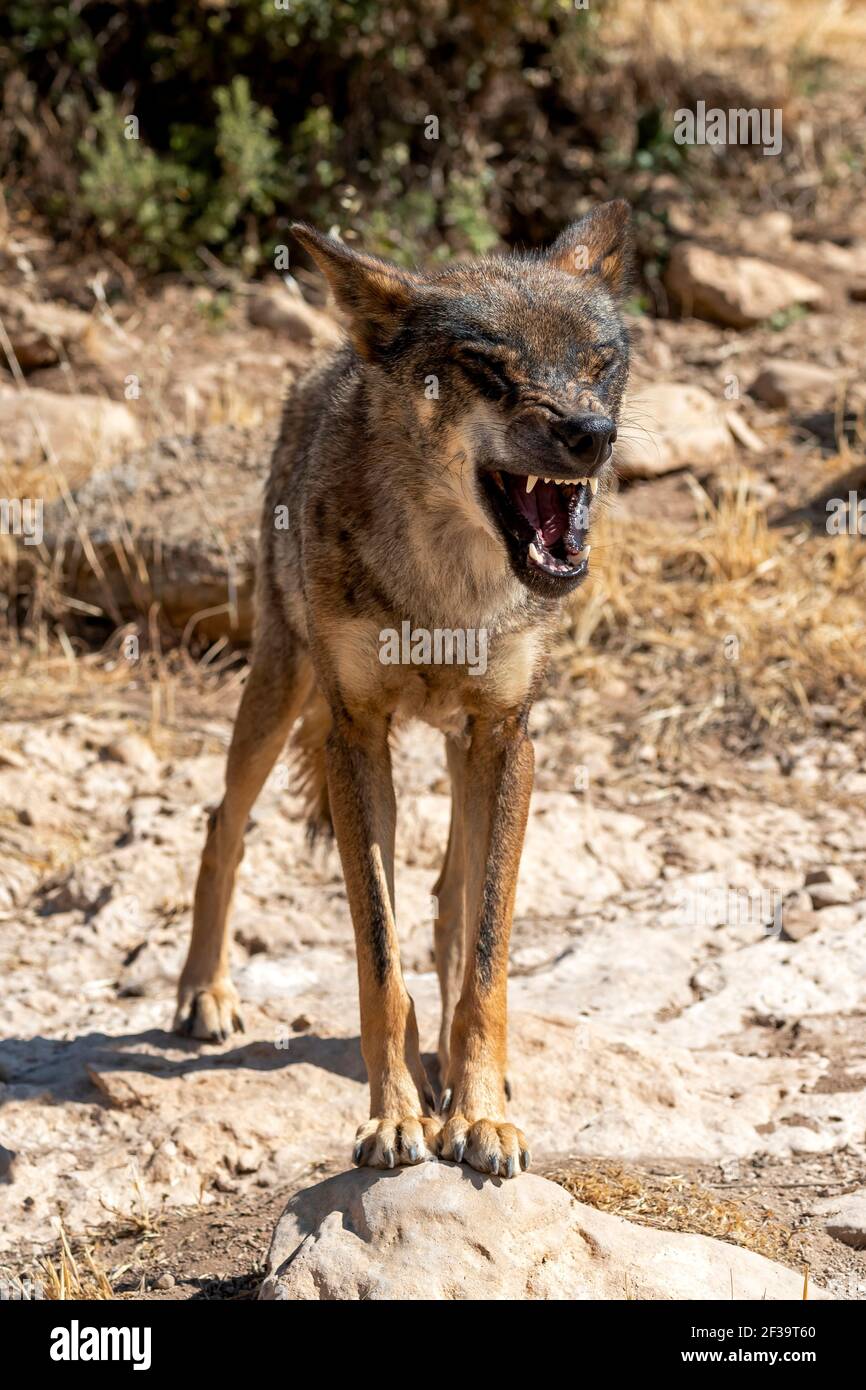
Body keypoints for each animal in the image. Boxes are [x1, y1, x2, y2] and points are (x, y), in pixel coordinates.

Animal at [176, 201, 633, 1178]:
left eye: (598, 365)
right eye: (490, 371)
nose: (592, 435)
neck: (447, 588)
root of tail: (333, 357)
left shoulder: (507, 737)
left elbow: (487, 957)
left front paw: (482, 1112)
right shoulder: (354, 735)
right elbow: (377, 960)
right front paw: (395, 1119)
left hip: (463, 752)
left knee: (452, 907)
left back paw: (454, 1079)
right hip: (279, 687)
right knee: (224, 823)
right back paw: (203, 993)